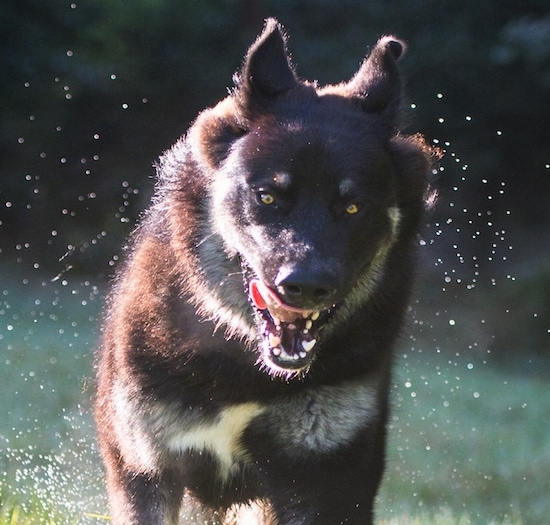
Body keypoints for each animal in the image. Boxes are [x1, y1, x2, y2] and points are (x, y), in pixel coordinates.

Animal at [97, 17, 438, 524]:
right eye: (268, 196)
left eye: (352, 207)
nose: (305, 286)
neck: (243, 364)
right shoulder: (146, 468)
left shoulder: (325, 480)